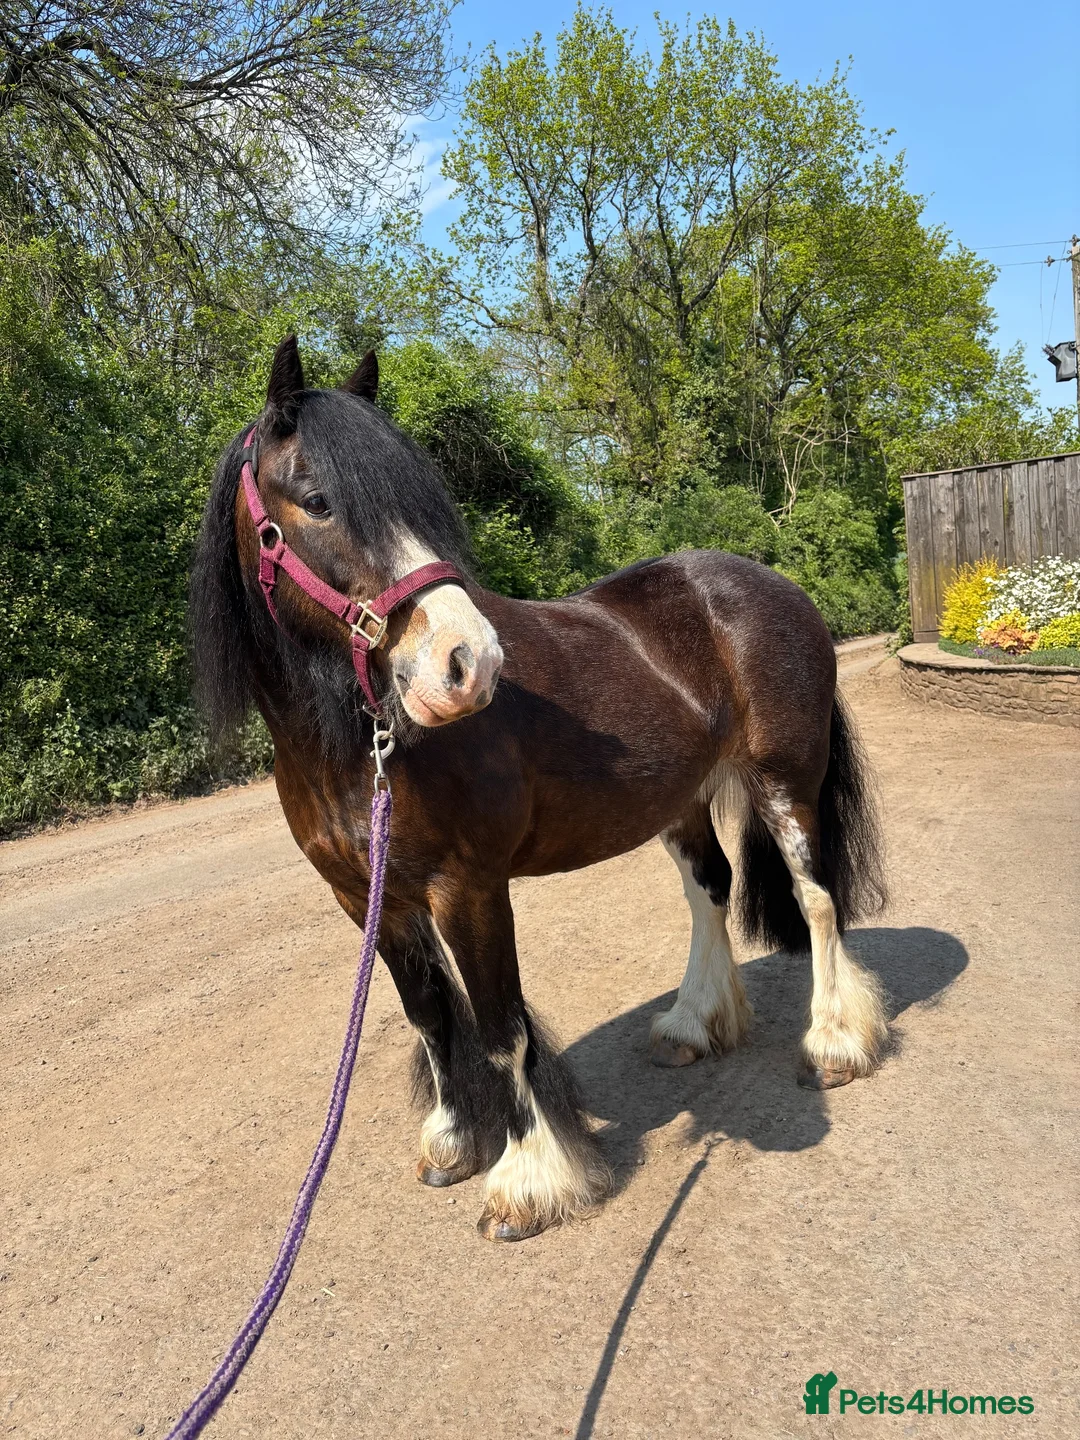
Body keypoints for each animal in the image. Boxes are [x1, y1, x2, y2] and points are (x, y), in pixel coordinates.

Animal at [190, 336, 888, 1243]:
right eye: (316, 501)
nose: (469, 662)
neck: (353, 749)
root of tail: (773, 587)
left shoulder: (468, 890)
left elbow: (498, 1031)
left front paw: (524, 1183)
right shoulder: (368, 898)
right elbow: (429, 1016)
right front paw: (452, 1143)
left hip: (784, 784)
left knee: (817, 899)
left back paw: (836, 1043)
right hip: (683, 801)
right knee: (712, 890)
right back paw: (692, 1026)